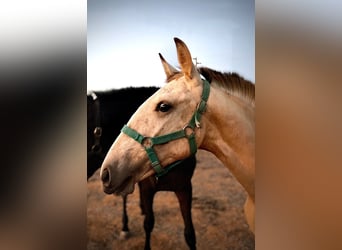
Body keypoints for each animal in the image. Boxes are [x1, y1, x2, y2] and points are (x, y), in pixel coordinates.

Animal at [88, 87, 198, 249]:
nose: (106, 175)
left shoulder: (184, 188)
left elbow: (189, 234)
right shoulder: (147, 187)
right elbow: (148, 224)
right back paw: (125, 226)